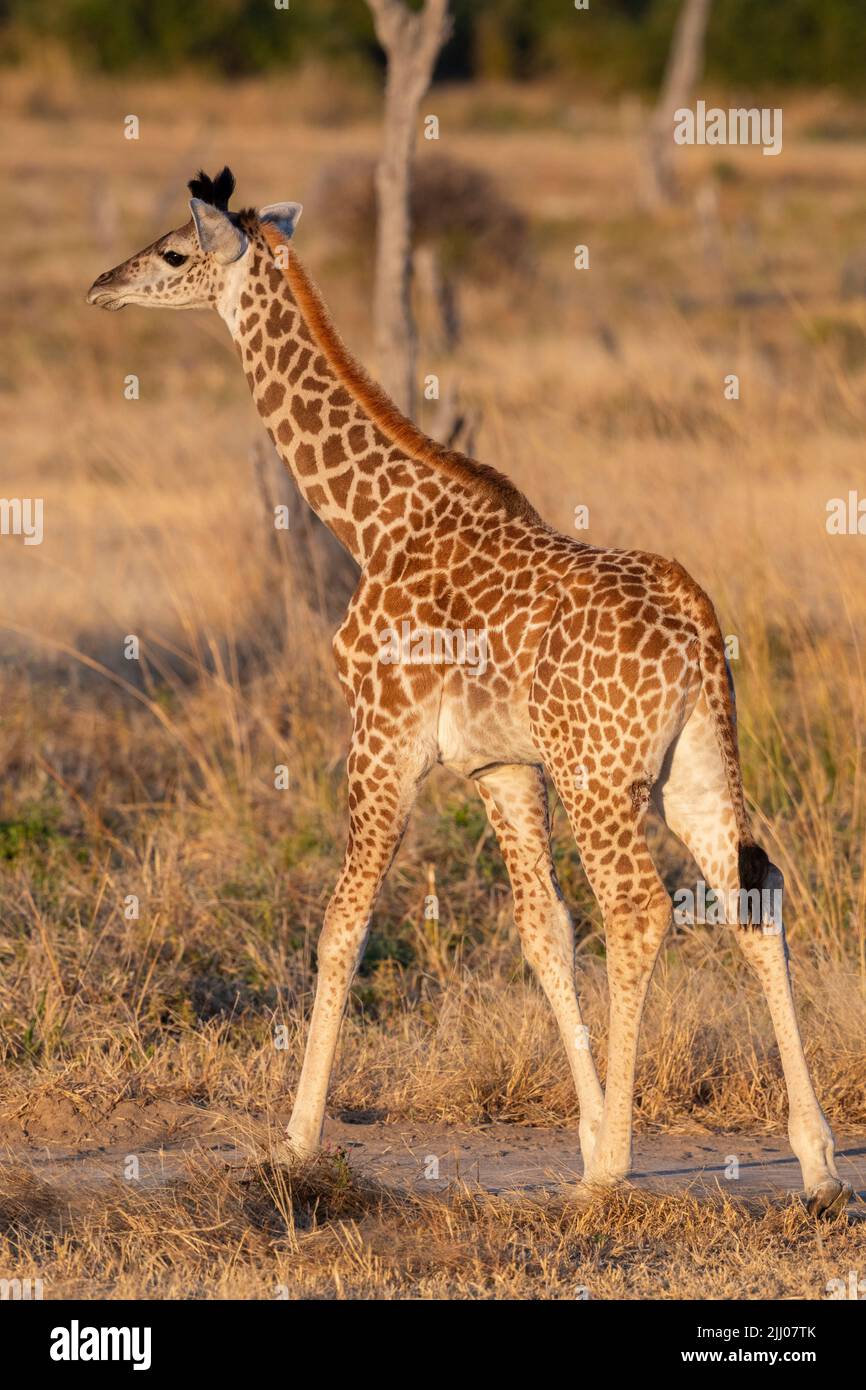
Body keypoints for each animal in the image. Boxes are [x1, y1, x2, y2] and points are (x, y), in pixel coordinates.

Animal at [87, 168, 850, 1217]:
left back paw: (614, 1174)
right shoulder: (498, 767)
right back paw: (816, 1164)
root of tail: (696, 621)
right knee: (754, 891)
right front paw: (583, 1131)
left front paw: (294, 1143)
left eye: (172, 251)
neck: (370, 522)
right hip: (694, 767)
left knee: (640, 909)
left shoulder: (383, 736)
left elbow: (342, 926)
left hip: (600, 775)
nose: (102, 286)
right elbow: (543, 934)